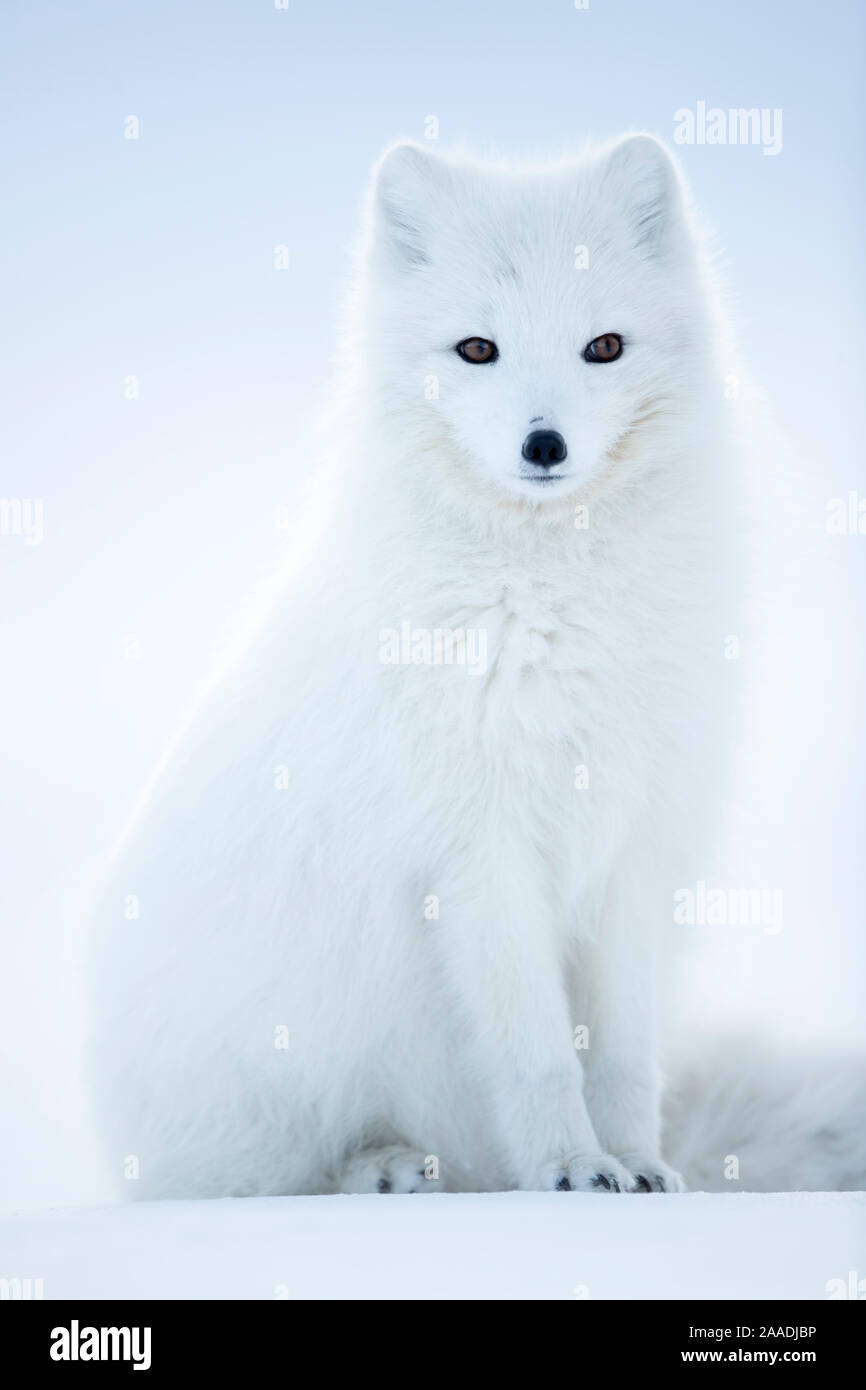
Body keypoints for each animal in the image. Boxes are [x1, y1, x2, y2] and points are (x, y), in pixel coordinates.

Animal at [87, 135, 865, 1199]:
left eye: (604, 347)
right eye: (477, 350)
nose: (545, 444)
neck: (558, 603)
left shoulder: (633, 846)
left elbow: (622, 1055)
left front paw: (638, 1167)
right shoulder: (478, 853)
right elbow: (537, 1052)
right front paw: (572, 1170)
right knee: (265, 1178)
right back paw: (384, 1171)